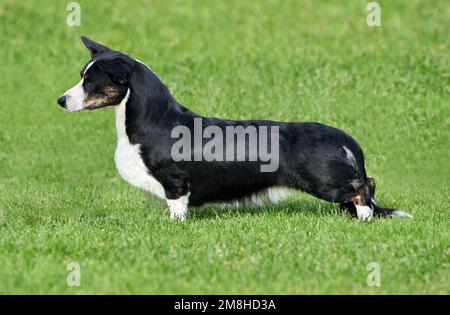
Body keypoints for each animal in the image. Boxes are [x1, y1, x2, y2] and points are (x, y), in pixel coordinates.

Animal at [57, 35, 412, 221]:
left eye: (90, 81)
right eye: (81, 75)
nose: (60, 100)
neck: (152, 121)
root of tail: (346, 140)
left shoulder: (175, 180)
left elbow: (176, 205)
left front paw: (175, 225)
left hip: (327, 182)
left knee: (364, 185)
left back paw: (364, 216)